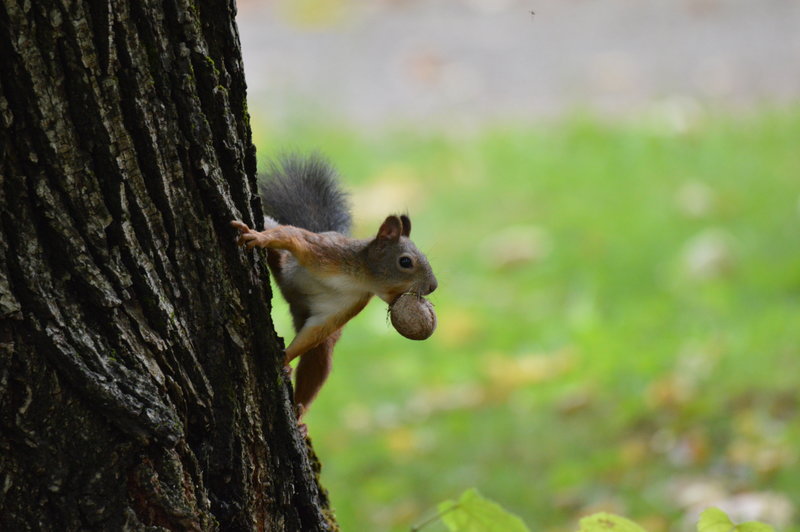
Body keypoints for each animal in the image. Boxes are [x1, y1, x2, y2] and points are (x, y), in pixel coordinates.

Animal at [231, 154, 437, 418]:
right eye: (405, 262)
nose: (433, 286)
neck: (358, 279)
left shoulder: (345, 307)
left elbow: (318, 329)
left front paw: (285, 359)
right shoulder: (326, 251)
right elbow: (293, 235)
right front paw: (259, 237)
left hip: (319, 345)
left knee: (318, 359)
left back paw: (299, 412)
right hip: (285, 260)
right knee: (277, 236)